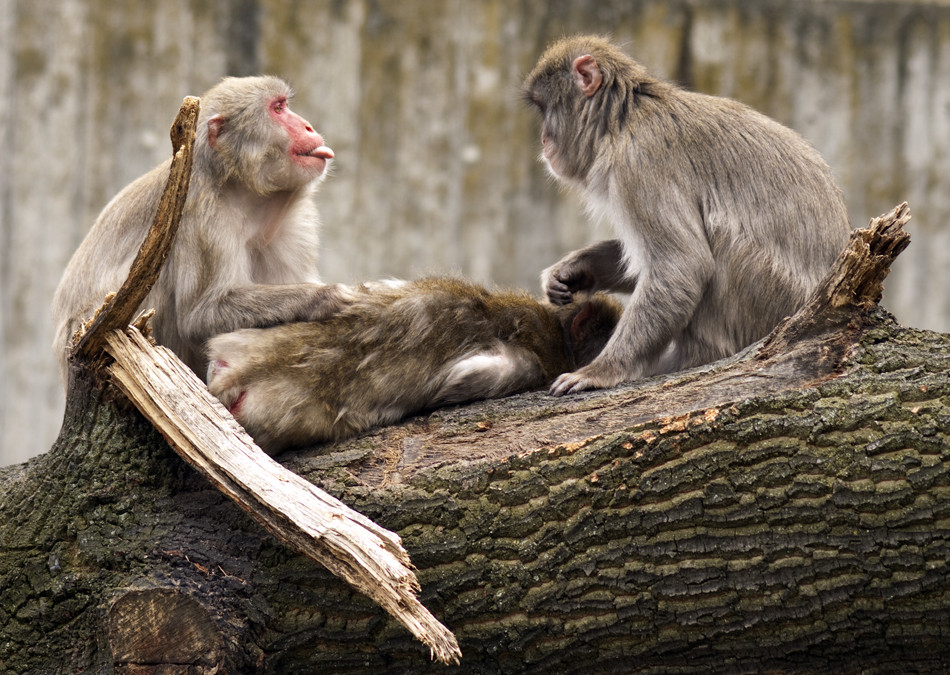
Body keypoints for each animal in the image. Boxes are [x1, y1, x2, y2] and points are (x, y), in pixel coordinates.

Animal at [53, 76, 350, 382]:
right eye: (278, 109)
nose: (308, 126)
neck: (248, 197)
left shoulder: (297, 221)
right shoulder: (199, 210)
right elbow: (200, 316)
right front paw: (323, 296)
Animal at [524, 35, 852, 396]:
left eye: (543, 107)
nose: (543, 140)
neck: (622, 120)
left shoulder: (640, 161)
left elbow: (682, 266)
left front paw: (601, 370)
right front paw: (576, 270)